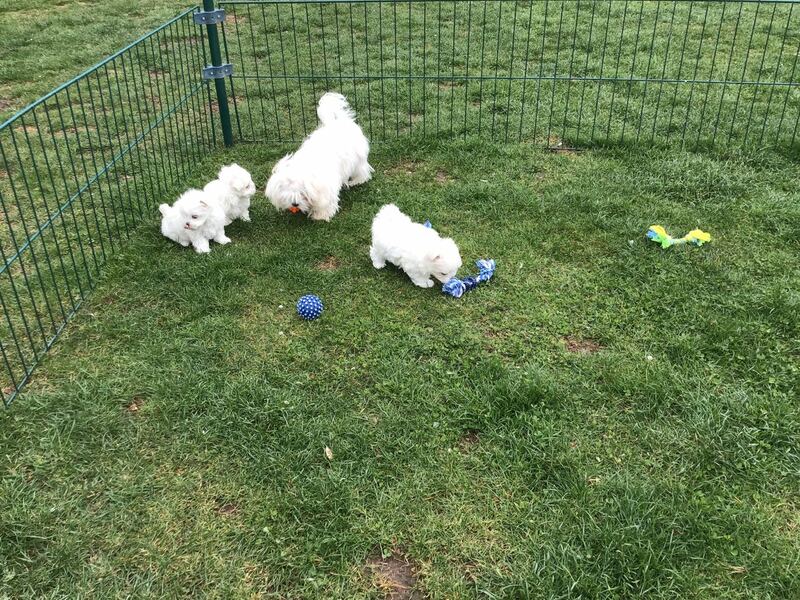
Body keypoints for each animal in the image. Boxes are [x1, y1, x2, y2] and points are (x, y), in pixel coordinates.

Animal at [265, 92, 373, 221]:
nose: (295, 204)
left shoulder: (326, 190)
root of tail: (339, 120)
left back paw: (356, 181)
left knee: (362, 171)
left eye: (303, 193)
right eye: (288, 193)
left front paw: (320, 216)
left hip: (358, 160)